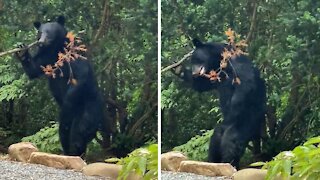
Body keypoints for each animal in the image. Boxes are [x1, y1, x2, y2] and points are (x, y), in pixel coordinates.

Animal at [15, 15, 105, 156]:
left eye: (49, 32)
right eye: (40, 32)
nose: (41, 42)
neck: (54, 49)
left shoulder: (72, 55)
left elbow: (80, 76)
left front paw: (66, 102)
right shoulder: (46, 58)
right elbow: (34, 69)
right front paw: (22, 51)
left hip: (91, 106)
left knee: (80, 129)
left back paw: (76, 150)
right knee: (64, 132)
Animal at [174, 38, 266, 169]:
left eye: (197, 60)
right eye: (192, 62)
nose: (194, 72)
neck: (218, 61)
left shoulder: (235, 61)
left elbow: (245, 81)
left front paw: (232, 109)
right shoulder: (215, 75)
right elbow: (201, 85)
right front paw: (178, 69)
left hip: (250, 119)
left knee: (232, 139)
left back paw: (229, 163)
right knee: (216, 138)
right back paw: (214, 162)